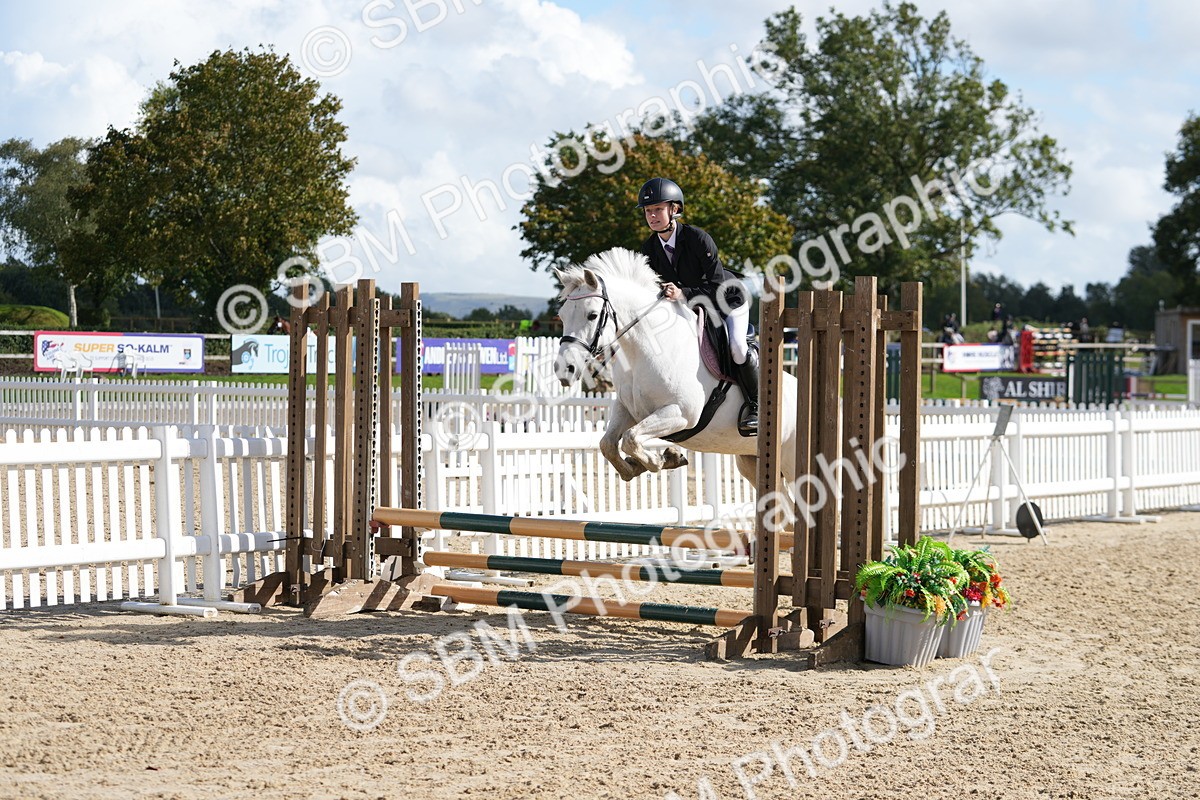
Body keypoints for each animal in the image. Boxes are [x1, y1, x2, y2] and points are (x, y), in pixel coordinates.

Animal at [554, 247, 797, 488]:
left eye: (592, 315)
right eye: (562, 316)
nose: (564, 369)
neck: (644, 349)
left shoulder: (680, 413)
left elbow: (630, 439)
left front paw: (663, 459)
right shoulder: (627, 409)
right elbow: (609, 444)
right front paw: (638, 467)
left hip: (790, 465)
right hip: (751, 462)